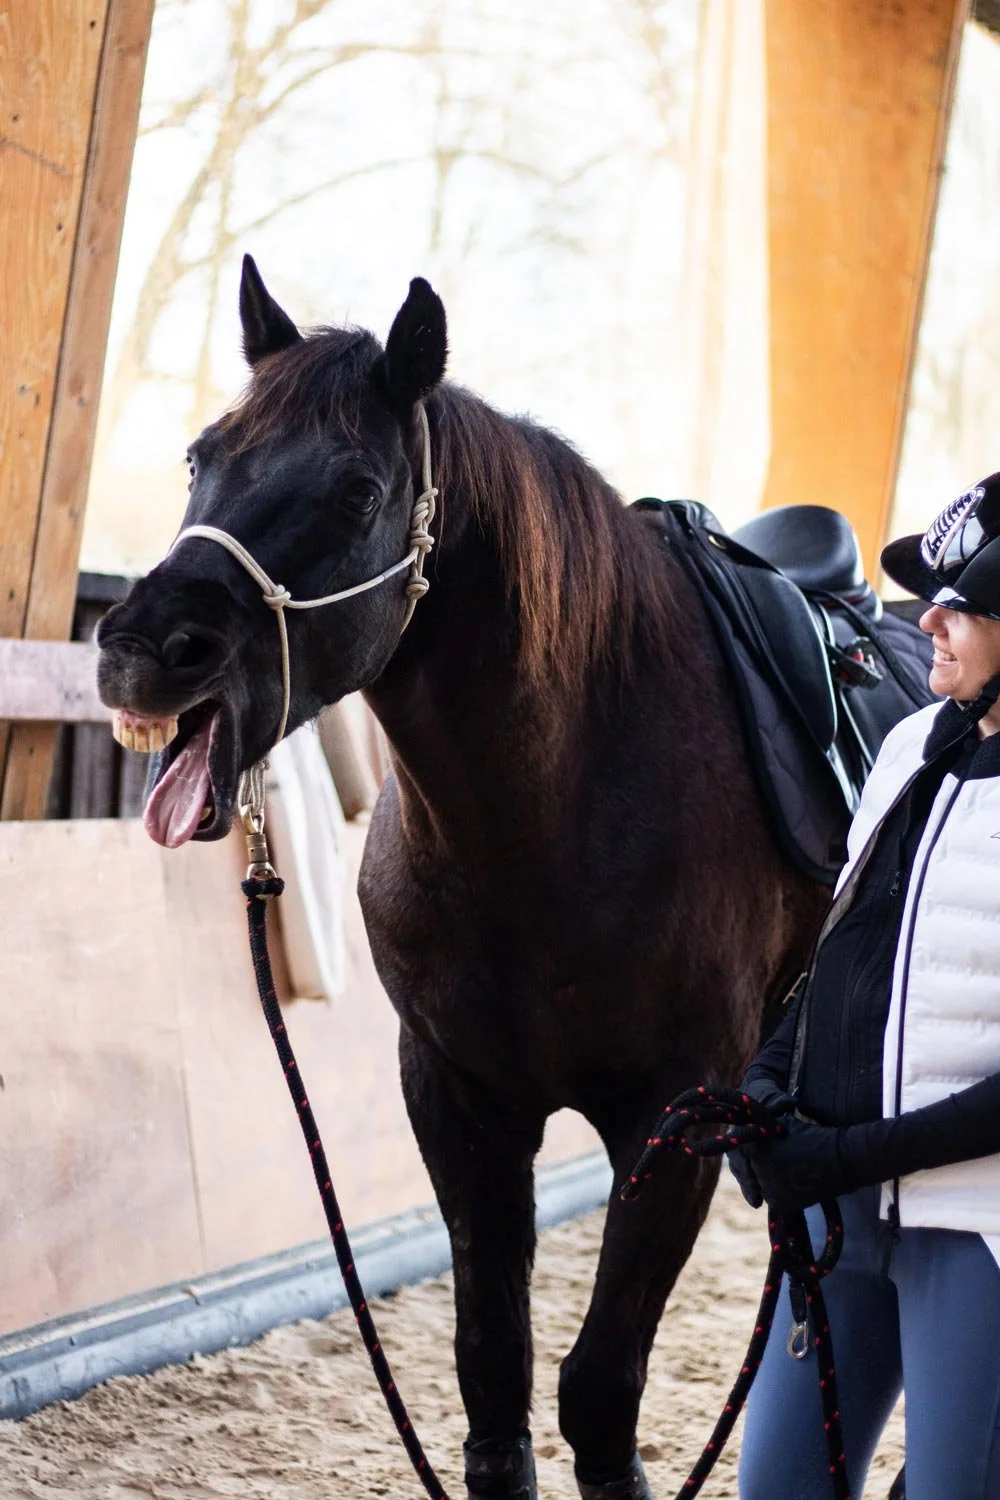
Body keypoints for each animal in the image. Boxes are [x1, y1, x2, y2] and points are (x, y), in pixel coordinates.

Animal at [96, 257, 838, 1499]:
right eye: (203, 457)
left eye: (357, 490)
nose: (140, 646)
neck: (553, 812)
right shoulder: (456, 1097)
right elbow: (494, 1375)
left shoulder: (675, 1120)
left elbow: (599, 1392)